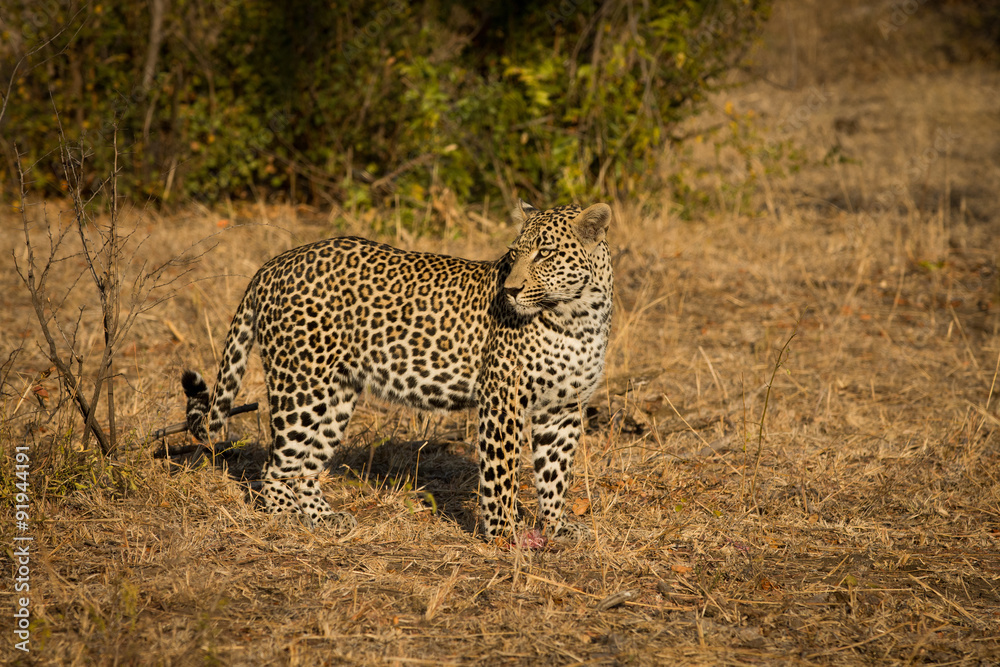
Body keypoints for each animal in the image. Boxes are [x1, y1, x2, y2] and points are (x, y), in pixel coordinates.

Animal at [183, 200, 612, 544]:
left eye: (545, 253)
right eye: (515, 252)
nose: (510, 290)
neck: (577, 316)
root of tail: (274, 264)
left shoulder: (563, 409)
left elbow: (555, 472)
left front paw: (557, 527)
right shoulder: (502, 399)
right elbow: (501, 473)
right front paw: (505, 535)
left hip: (335, 393)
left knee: (306, 463)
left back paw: (324, 518)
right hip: (301, 385)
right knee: (277, 464)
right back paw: (287, 519)